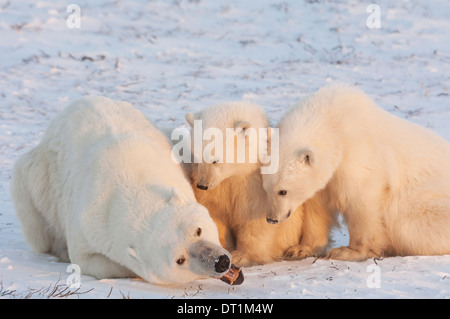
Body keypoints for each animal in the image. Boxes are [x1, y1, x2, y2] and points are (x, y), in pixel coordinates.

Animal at [10, 96, 232, 284]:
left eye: (197, 230)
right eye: (180, 260)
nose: (220, 262)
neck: (129, 188)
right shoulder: (87, 227)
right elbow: (88, 261)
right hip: (39, 179)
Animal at [178, 102, 336, 268]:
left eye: (215, 159)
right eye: (196, 156)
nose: (202, 185)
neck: (235, 175)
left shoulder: (255, 185)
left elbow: (254, 217)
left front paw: (242, 256)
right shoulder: (216, 189)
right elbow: (214, 214)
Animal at [262, 85, 450, 262]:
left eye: (283, 191)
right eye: (266, 189)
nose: (272, 219)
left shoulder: (359, 155)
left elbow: (361, 201)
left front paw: (346, 252)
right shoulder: (326, 177)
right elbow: (316, 207)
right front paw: (300, 249)